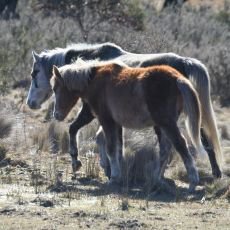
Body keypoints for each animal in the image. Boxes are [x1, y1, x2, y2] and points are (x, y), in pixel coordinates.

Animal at [51, 60, 206, 191]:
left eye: (56, 88)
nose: (56, 114)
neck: (95, 80)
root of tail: (177, 78)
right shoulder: (111, 122)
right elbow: (116, 147)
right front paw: (77, 162)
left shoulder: (106, 120)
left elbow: (111, 148)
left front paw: (114, 177)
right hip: (162, 125)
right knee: (165, 149)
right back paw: (157, 179)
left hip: (166, 123)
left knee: (180, 144)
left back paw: (192, 182)